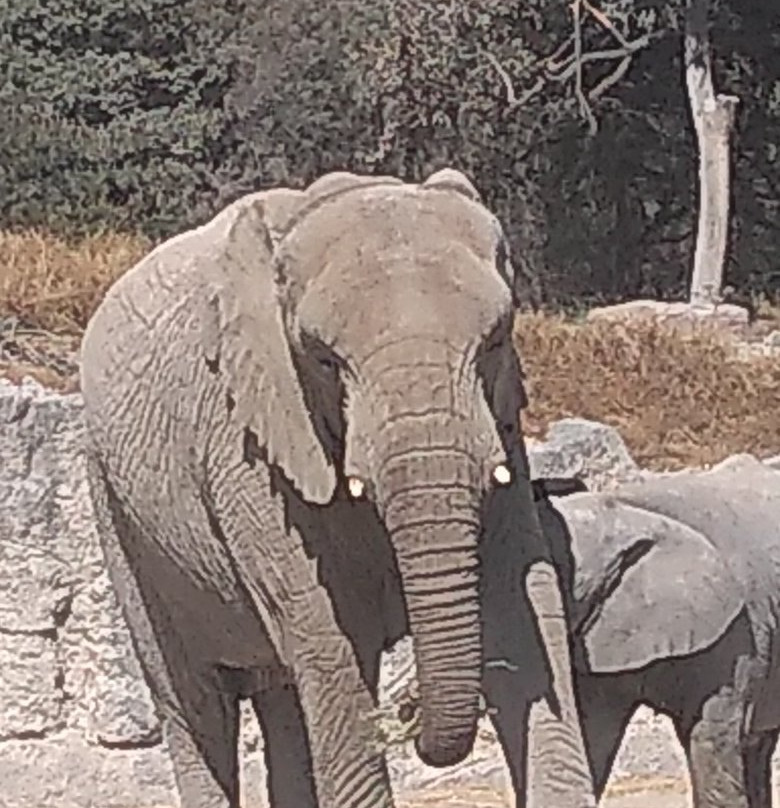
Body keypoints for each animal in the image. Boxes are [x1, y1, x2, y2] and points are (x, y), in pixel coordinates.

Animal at [79, 169, 596, 808]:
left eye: (498, 340)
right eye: (324, 360)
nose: (410, 716)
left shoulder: (503, 428)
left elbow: (525, 603)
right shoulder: (246, 442)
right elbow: (329, 637)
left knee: (283, 701)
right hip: (116, 509)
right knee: (193, 702)